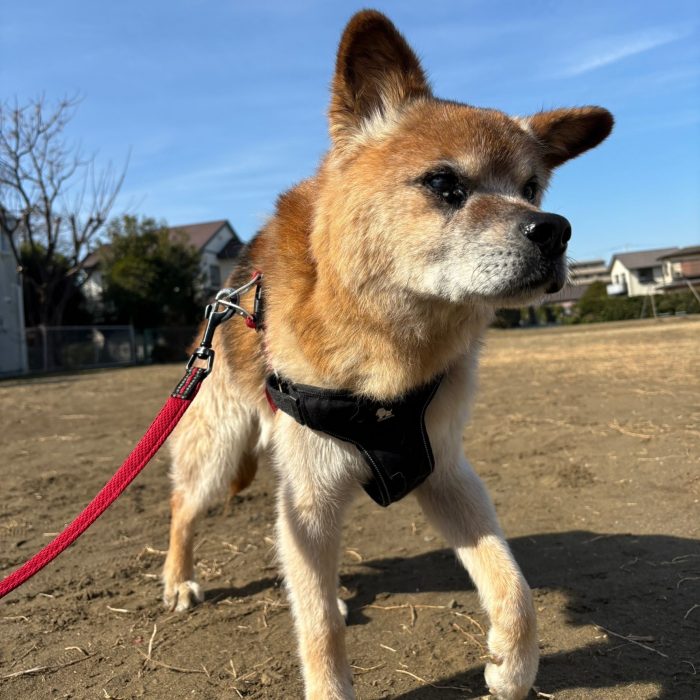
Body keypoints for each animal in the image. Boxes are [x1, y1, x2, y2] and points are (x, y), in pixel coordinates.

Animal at [161, 10, 608, 700]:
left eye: (533, 188)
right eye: (445, 183)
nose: (555, 229)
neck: (393, 351)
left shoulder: (445, 469)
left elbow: (515, 590)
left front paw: (511, 669)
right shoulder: (312, 491)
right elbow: (319, 628)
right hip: (221, 447)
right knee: (184, 508)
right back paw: (179, 578)